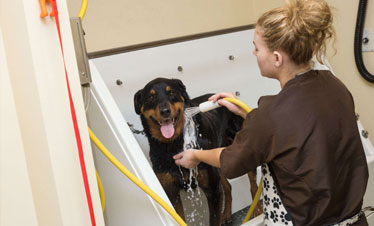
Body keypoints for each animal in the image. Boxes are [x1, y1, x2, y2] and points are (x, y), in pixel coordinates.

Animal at [135, 77, 262, 224]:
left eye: (172, 92)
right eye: (151, 97)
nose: (165, 111)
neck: (173, 144)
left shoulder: (212, 189)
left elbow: (214, 219)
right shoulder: (170, 192)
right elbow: (180, 216)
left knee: (253, 186)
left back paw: (258, 211)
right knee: (228, 187)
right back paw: (226, 214)